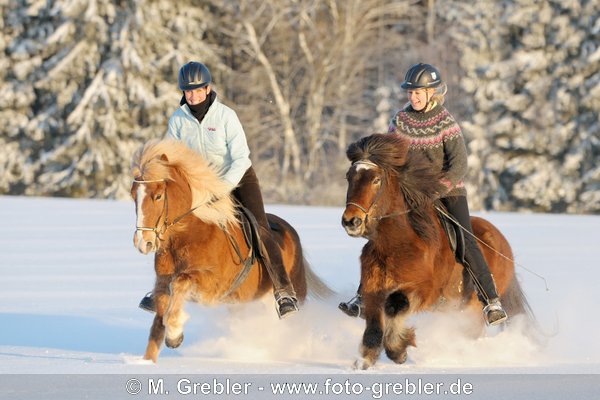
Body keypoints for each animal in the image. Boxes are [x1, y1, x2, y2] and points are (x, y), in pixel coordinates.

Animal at [130, 138, 332, 362]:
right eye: (133, 196)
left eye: (158, 196)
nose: (143, 243)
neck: (188, 235)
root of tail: (291, 231)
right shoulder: (162, 285)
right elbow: (158, 325)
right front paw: (147, 361)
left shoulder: (212, 285)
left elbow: (180, 283)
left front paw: (174, 334)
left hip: (293, 294)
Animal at [340, 134, 532, 368]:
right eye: (349, 177)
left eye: (376, 179)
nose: (351, 221)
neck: (396, 244)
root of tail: (503, 242)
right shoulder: (373, 290)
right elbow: (374, 326)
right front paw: (365, 360)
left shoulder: (424, 290)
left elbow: (395, 304)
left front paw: (398, 350)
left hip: (475, 308)